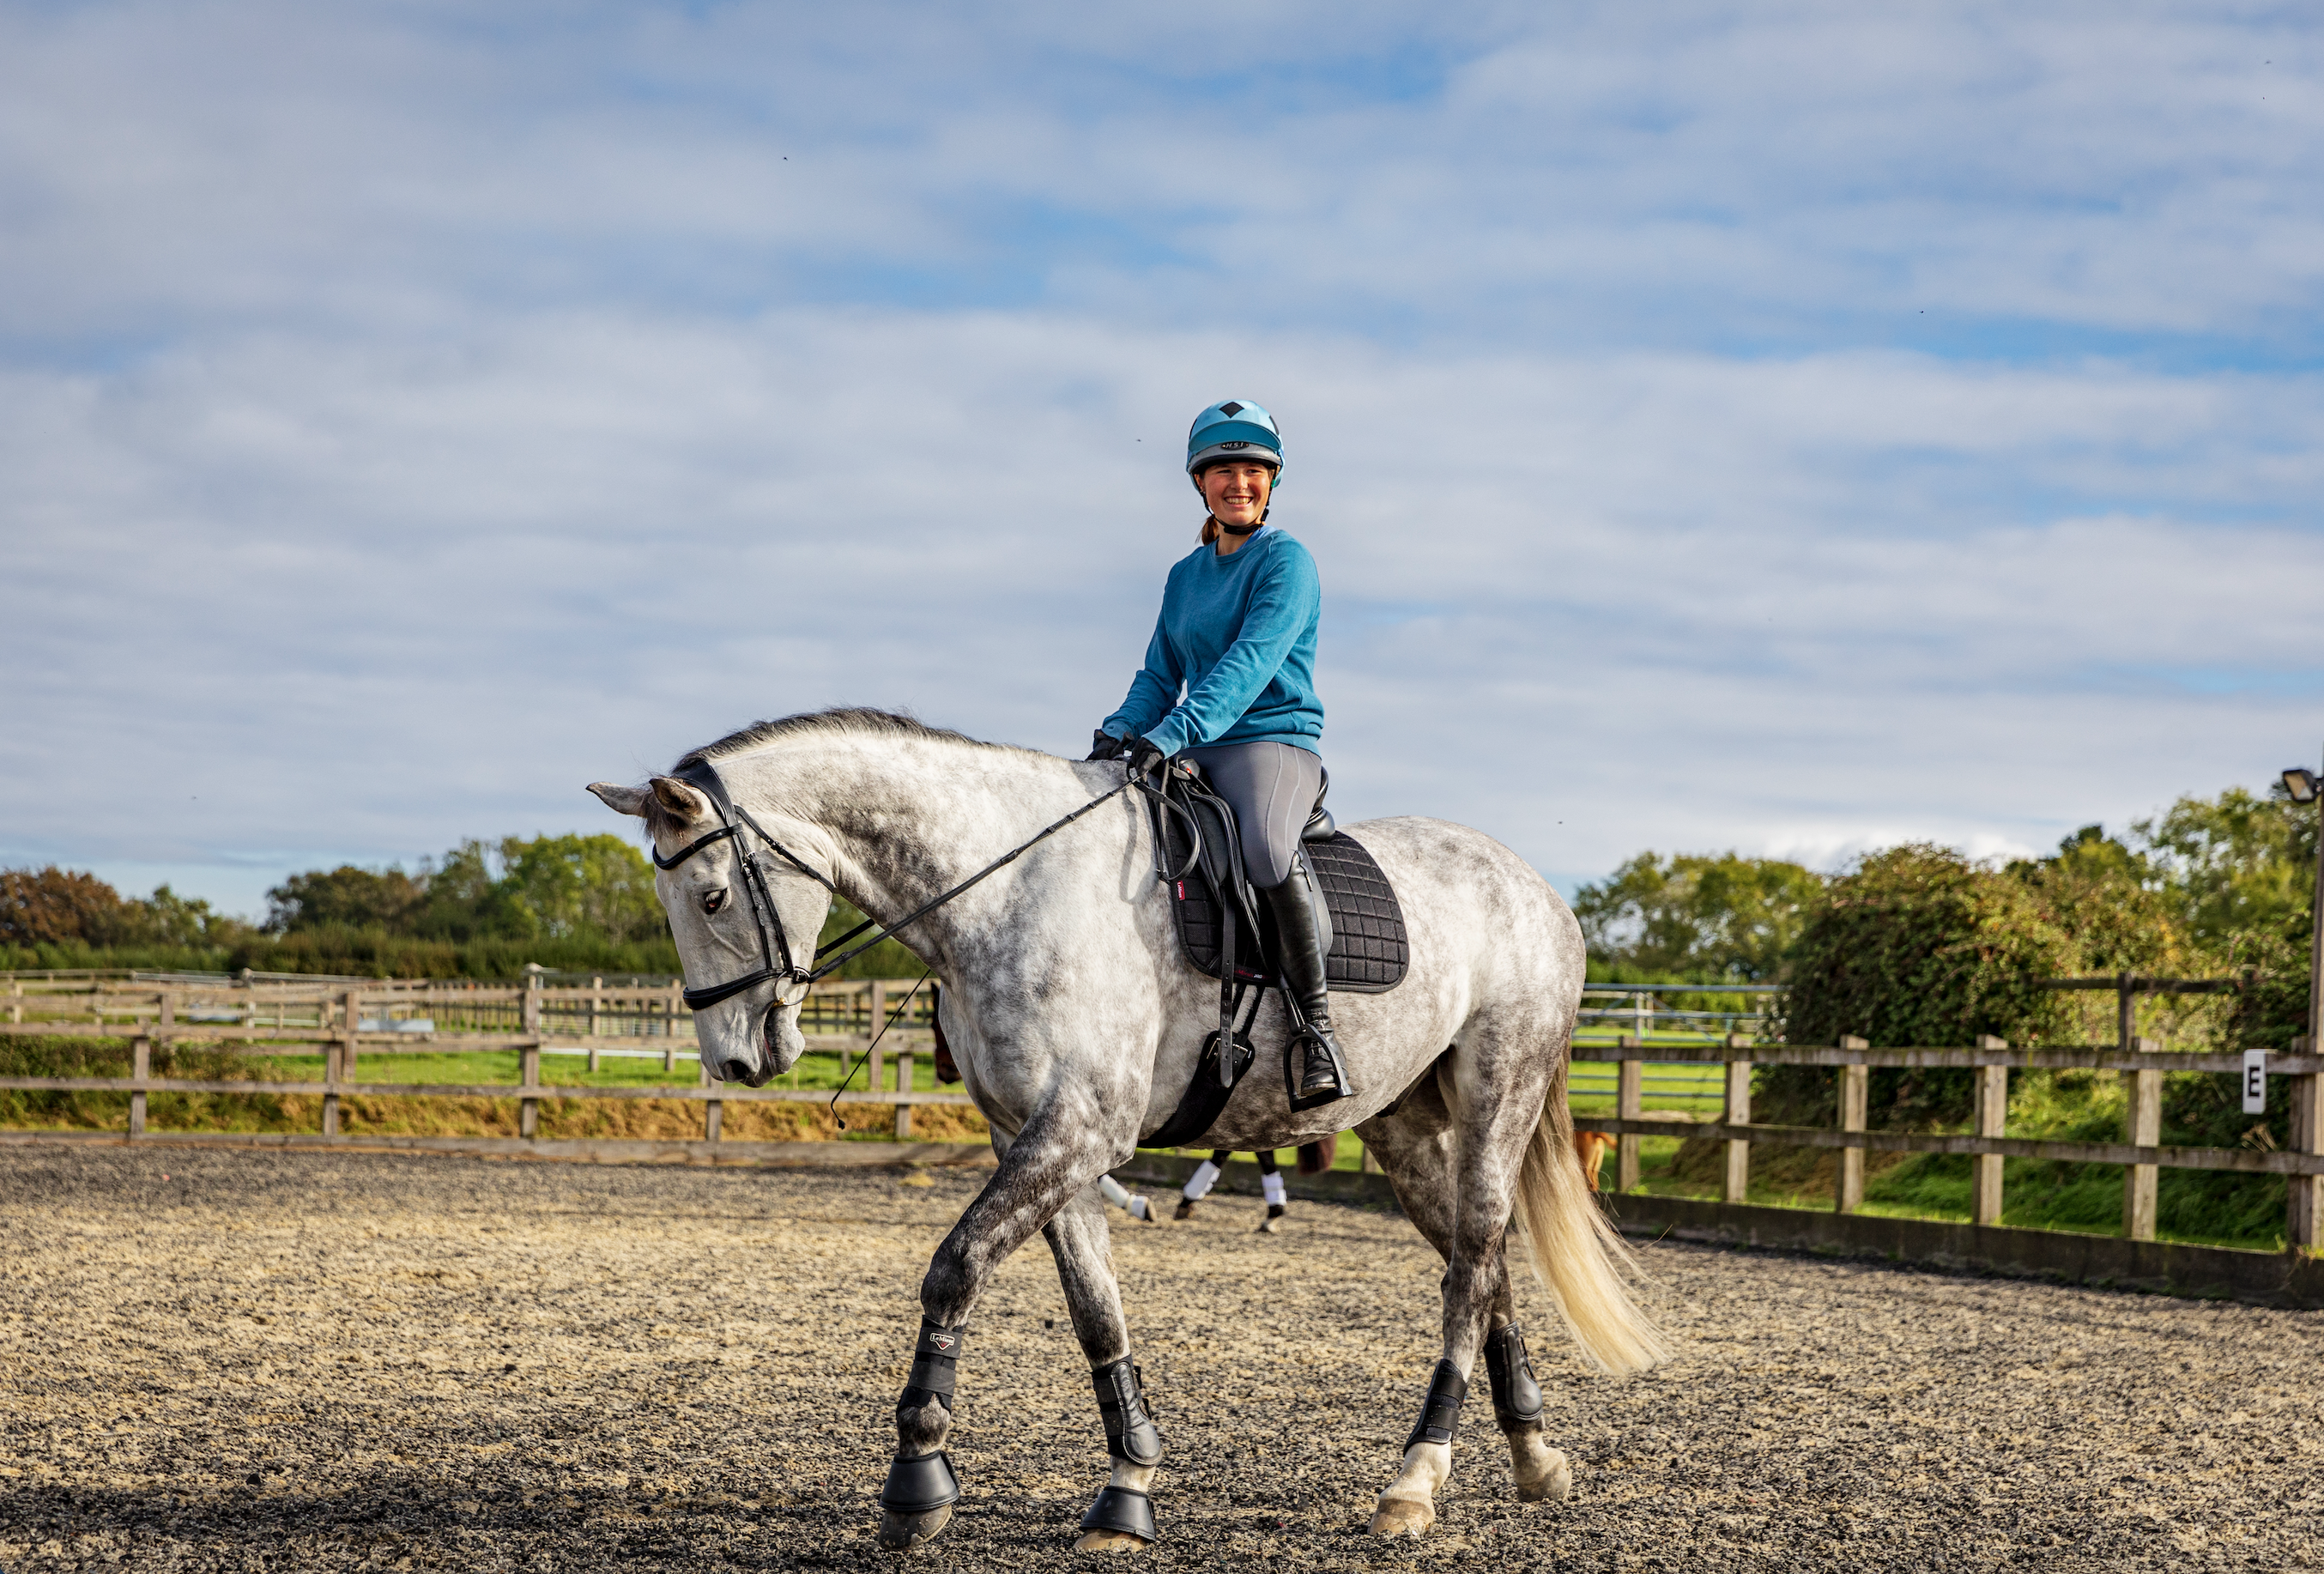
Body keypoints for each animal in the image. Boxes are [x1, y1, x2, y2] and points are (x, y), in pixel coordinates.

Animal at [587, 708, 1665, 1553]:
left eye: (712, 895)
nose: (734, 1060)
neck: (1006, 892)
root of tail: (1533, 886)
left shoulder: (1080, 1128)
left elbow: (953, 1267)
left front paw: (917, 1481)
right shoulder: (1034, 1137)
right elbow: (1093, 1309)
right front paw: (1126, 1489)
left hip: (1497, 1097)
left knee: (1472, 1263)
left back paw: (1415, 1481)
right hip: (1400, 1129)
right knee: (1481, 1268)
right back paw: (1532, 1456)